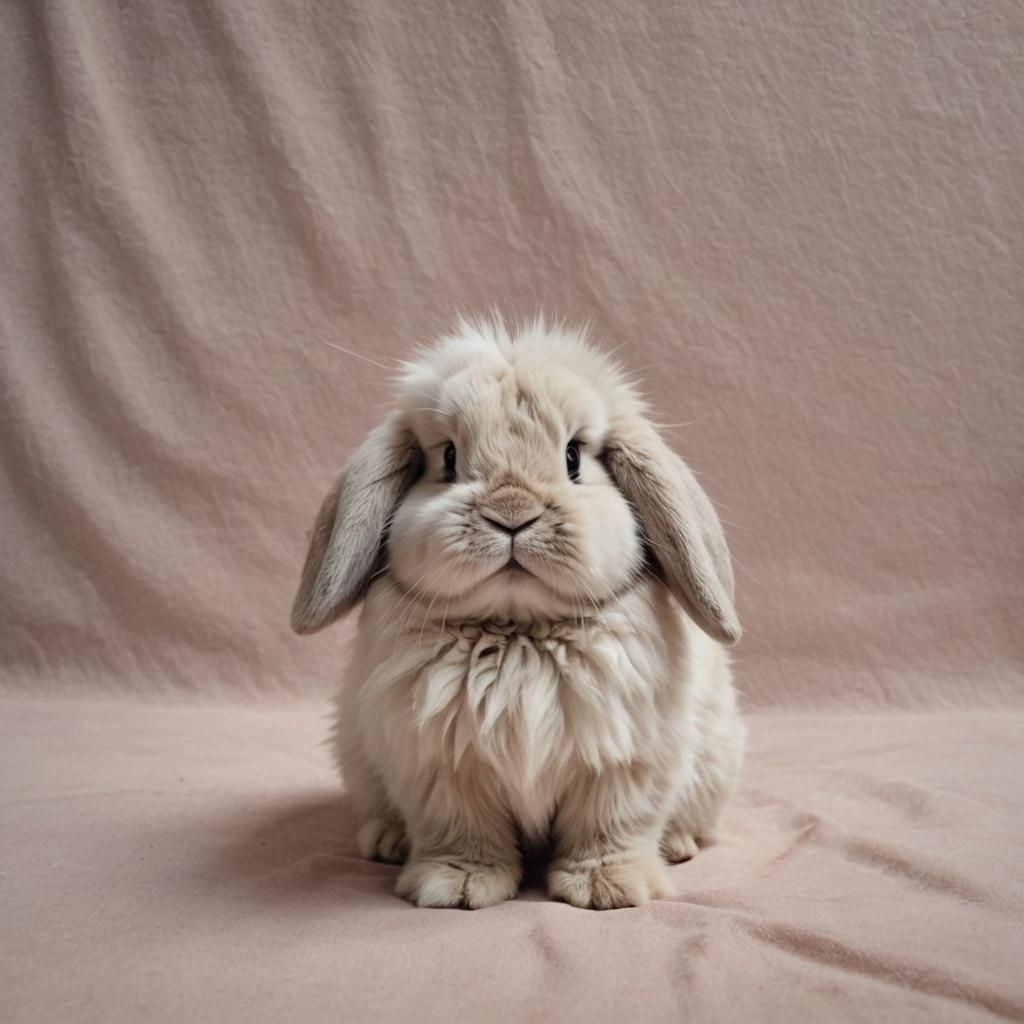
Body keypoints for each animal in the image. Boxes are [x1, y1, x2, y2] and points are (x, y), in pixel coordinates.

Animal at [291, 317, 745, 910]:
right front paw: (458, 887)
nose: (512, 513)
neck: (518, 631)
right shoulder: (440, 769)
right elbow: (462, 830)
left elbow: (610, 826)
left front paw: (609, 888)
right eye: (448, 458)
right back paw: (387, 841)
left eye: (573, 457)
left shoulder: (625, 764)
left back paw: (678, 844)